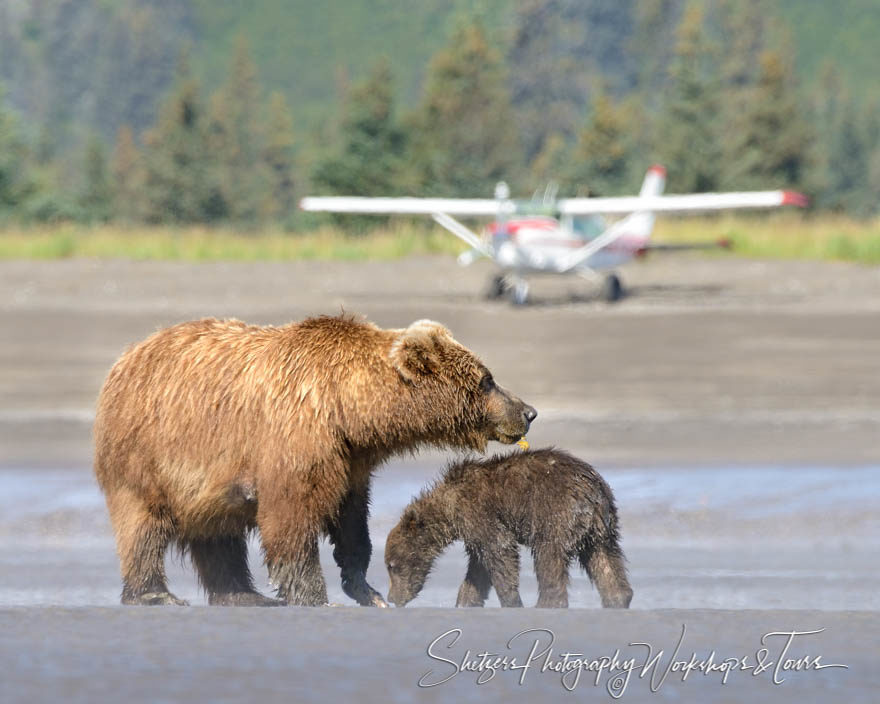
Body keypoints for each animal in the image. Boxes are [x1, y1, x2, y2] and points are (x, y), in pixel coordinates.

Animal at [96, 314, 536, 604]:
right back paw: (154, 593)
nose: (528, 411)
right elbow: (291, 518)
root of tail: (125, 358)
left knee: (218, 534)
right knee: (144, 524)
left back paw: (242, 594)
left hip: (205, 482)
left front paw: (365, 587)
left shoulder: (350, 459)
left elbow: (352, 522)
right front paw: (311, 593)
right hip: (149, 453)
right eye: (487, 380)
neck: (349, 408)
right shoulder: (295, 438)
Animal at [384, 448, 632, 608]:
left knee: (549, 557)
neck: (450, 506)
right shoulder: (472, 530)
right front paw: (465, 601)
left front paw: (511, 600)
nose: (391, 597)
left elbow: (499, 551)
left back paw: (547, 603)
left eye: (392, 566)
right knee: (606, 561)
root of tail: (594, 491)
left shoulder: (478, 512)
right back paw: (618, 598)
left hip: (556, 514)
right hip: (601, 529)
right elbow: (478, 568)